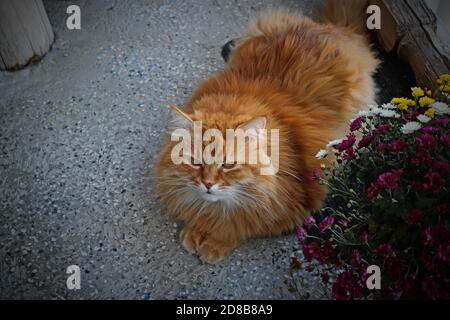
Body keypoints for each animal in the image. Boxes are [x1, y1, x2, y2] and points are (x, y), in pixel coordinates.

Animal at [156, 0, 378, 264]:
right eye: (196, 163)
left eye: (228, 165)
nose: (208, 184)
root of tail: (335, 28)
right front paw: (197, 229)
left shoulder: (287, 210)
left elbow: (238, 225)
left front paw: (215, 241)